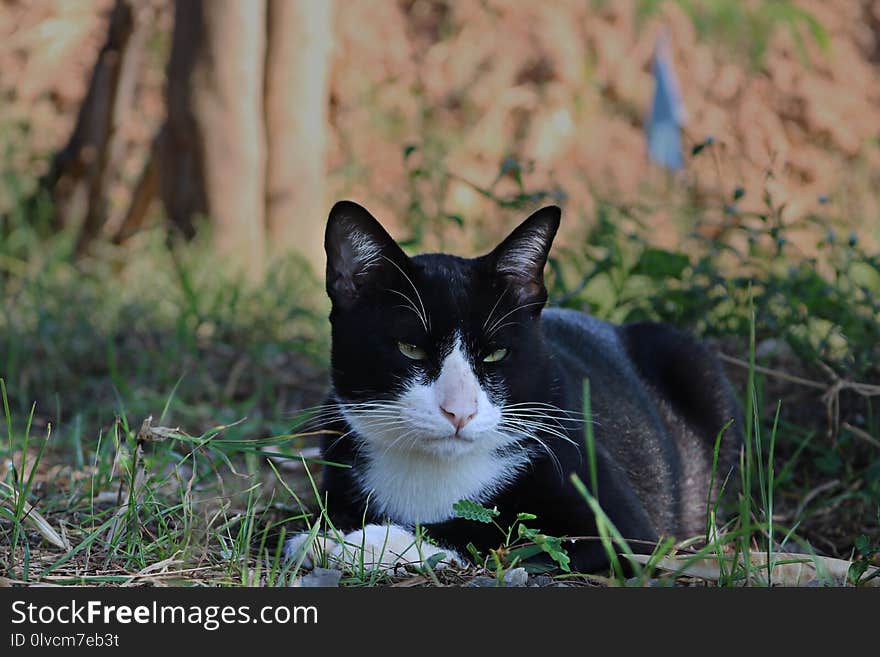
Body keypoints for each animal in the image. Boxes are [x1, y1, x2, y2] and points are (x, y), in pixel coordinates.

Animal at [284, 200, 744, 576]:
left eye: (495, 354)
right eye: (410, 348)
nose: (460, 410)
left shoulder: (617, 517)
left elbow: (503, 530)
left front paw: (359, 542)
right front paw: (326, 534)